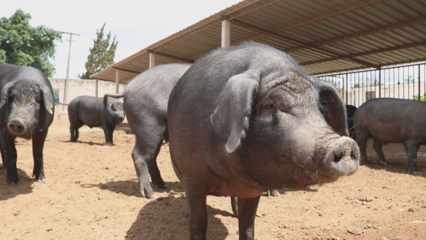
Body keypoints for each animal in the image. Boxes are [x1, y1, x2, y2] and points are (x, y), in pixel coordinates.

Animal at [166, 42, 360, 239]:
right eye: (268, 105)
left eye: (319, 108)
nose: (345, 144)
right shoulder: (192, 178)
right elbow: (198, 224)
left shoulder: (252, 190)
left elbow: (248, 225)